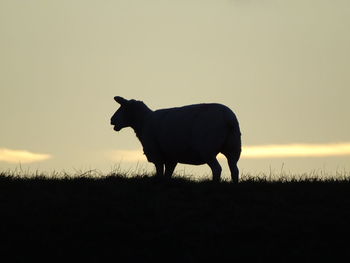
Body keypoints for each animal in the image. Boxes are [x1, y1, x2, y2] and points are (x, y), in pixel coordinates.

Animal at [110, 97, 241, 184]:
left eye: (123, 108)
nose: (111, 120)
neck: (144, 121)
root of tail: (228, 118)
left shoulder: (156, 153)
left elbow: (159, 172)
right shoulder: (171, 156)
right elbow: (168, 174)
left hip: (207, 149)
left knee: (217, 169)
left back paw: (214, 184)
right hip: (233, 147)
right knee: (234, 169)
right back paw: (234, 185)